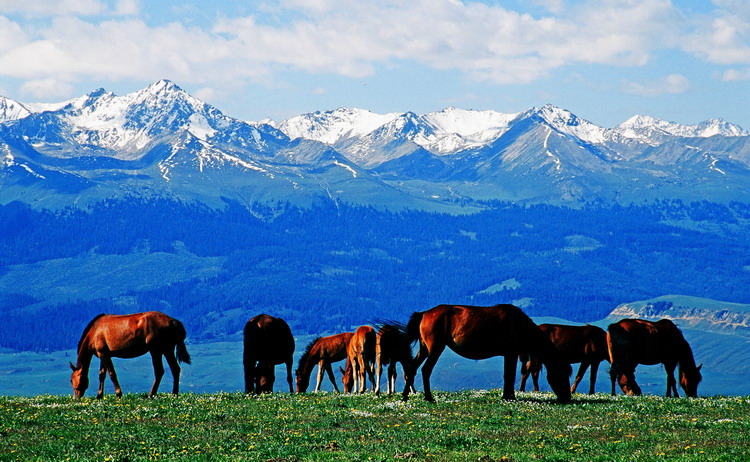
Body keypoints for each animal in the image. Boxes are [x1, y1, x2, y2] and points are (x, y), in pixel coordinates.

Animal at [402, 304, 572, 402]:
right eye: (562, 374)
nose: (567, 398)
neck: (519, 325)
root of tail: (424, 313)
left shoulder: (510, 355)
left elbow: (508, 375)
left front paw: (508, 395)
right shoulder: (511, 354)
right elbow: (509, 376)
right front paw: (509, 397)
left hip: (424, 349)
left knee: (413, 368)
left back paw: (405, 396)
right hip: (435, 349)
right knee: (426, 370)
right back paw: (428, 397)